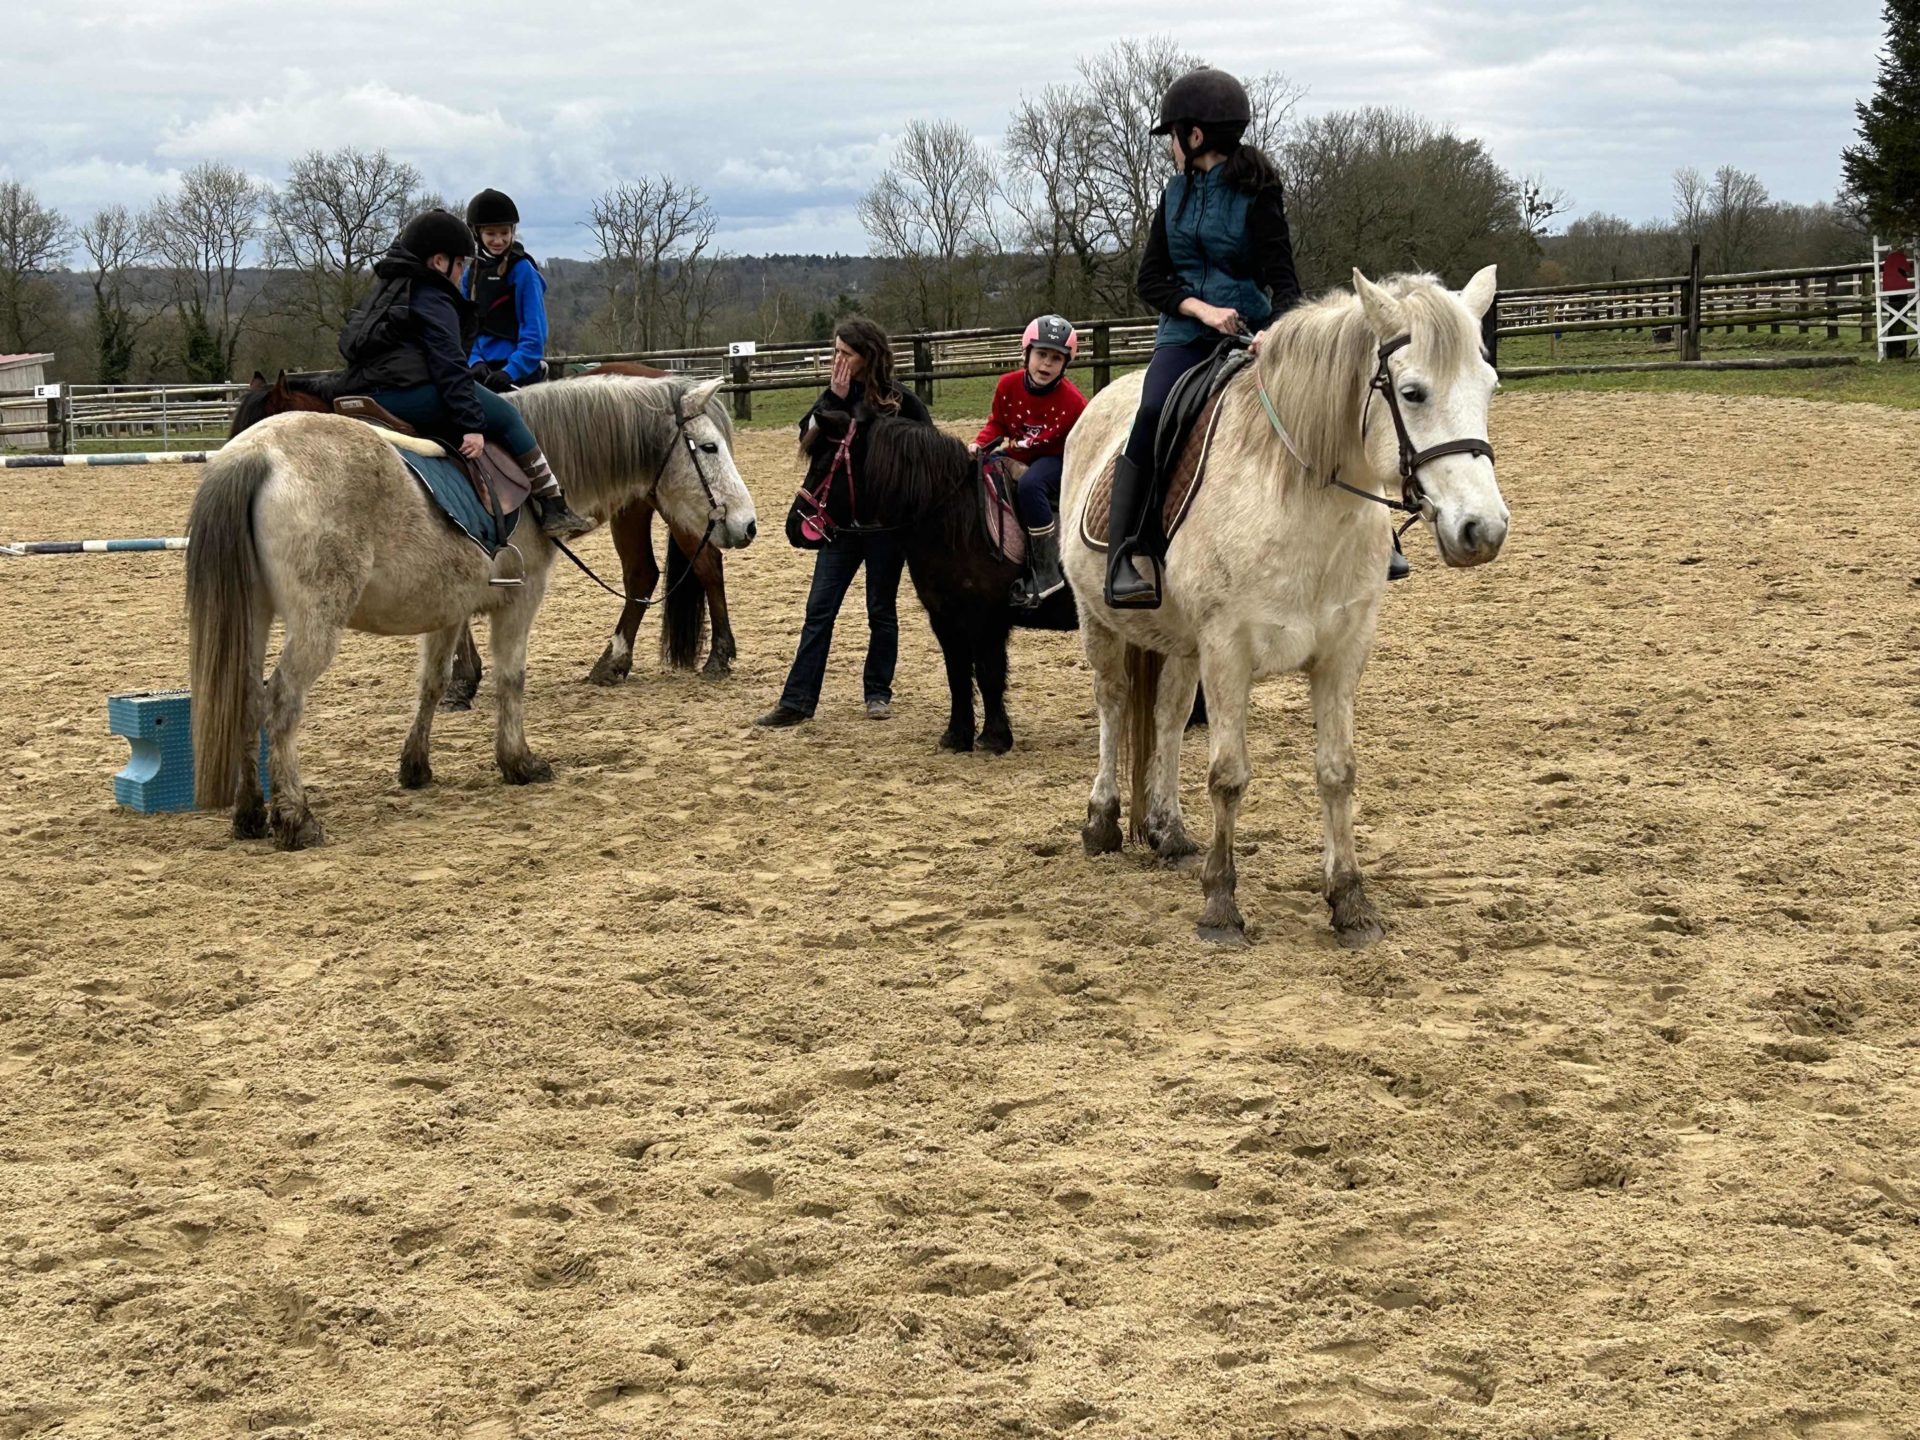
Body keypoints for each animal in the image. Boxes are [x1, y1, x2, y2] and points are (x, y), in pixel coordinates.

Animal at [224, 366, 733, 710]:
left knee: (701, 567)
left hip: (671, 509)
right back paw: (615, 663)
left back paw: (716, 656)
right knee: (643, 576)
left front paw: (461, 680)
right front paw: (463, 680)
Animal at [806, 407, 1082, 756]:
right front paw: (957, 736)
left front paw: (995, 737)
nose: (795, 524)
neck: (958, 518)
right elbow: (958, 674)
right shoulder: (945, 618)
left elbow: (989, 675)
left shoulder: (987, 620)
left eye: (823, 466)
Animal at [1059, 268, 1505, 948]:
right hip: (1100, 621)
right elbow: (1228, 775)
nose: (1483, 530)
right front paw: (1220, 905)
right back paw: (1102, 821)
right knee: (1113, 706)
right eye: (1412, 392)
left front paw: (1350, 901)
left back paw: (1169, 832)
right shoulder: (1228, 651)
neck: (1302, 504)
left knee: (1165, 720)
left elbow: (1337, 772)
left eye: (1489, 386)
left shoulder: (1341, 654)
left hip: (1181, 646)